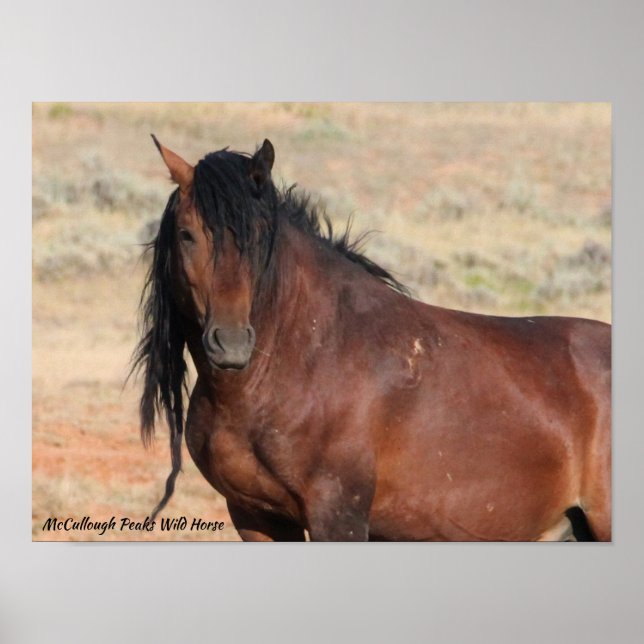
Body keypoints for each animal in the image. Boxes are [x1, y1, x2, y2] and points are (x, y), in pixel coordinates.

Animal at [132, 136, 611, 541]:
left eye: (261, 235)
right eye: (187, 234)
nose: (230, 345)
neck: (305, 357)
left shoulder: (338, 515)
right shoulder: (255, 516)